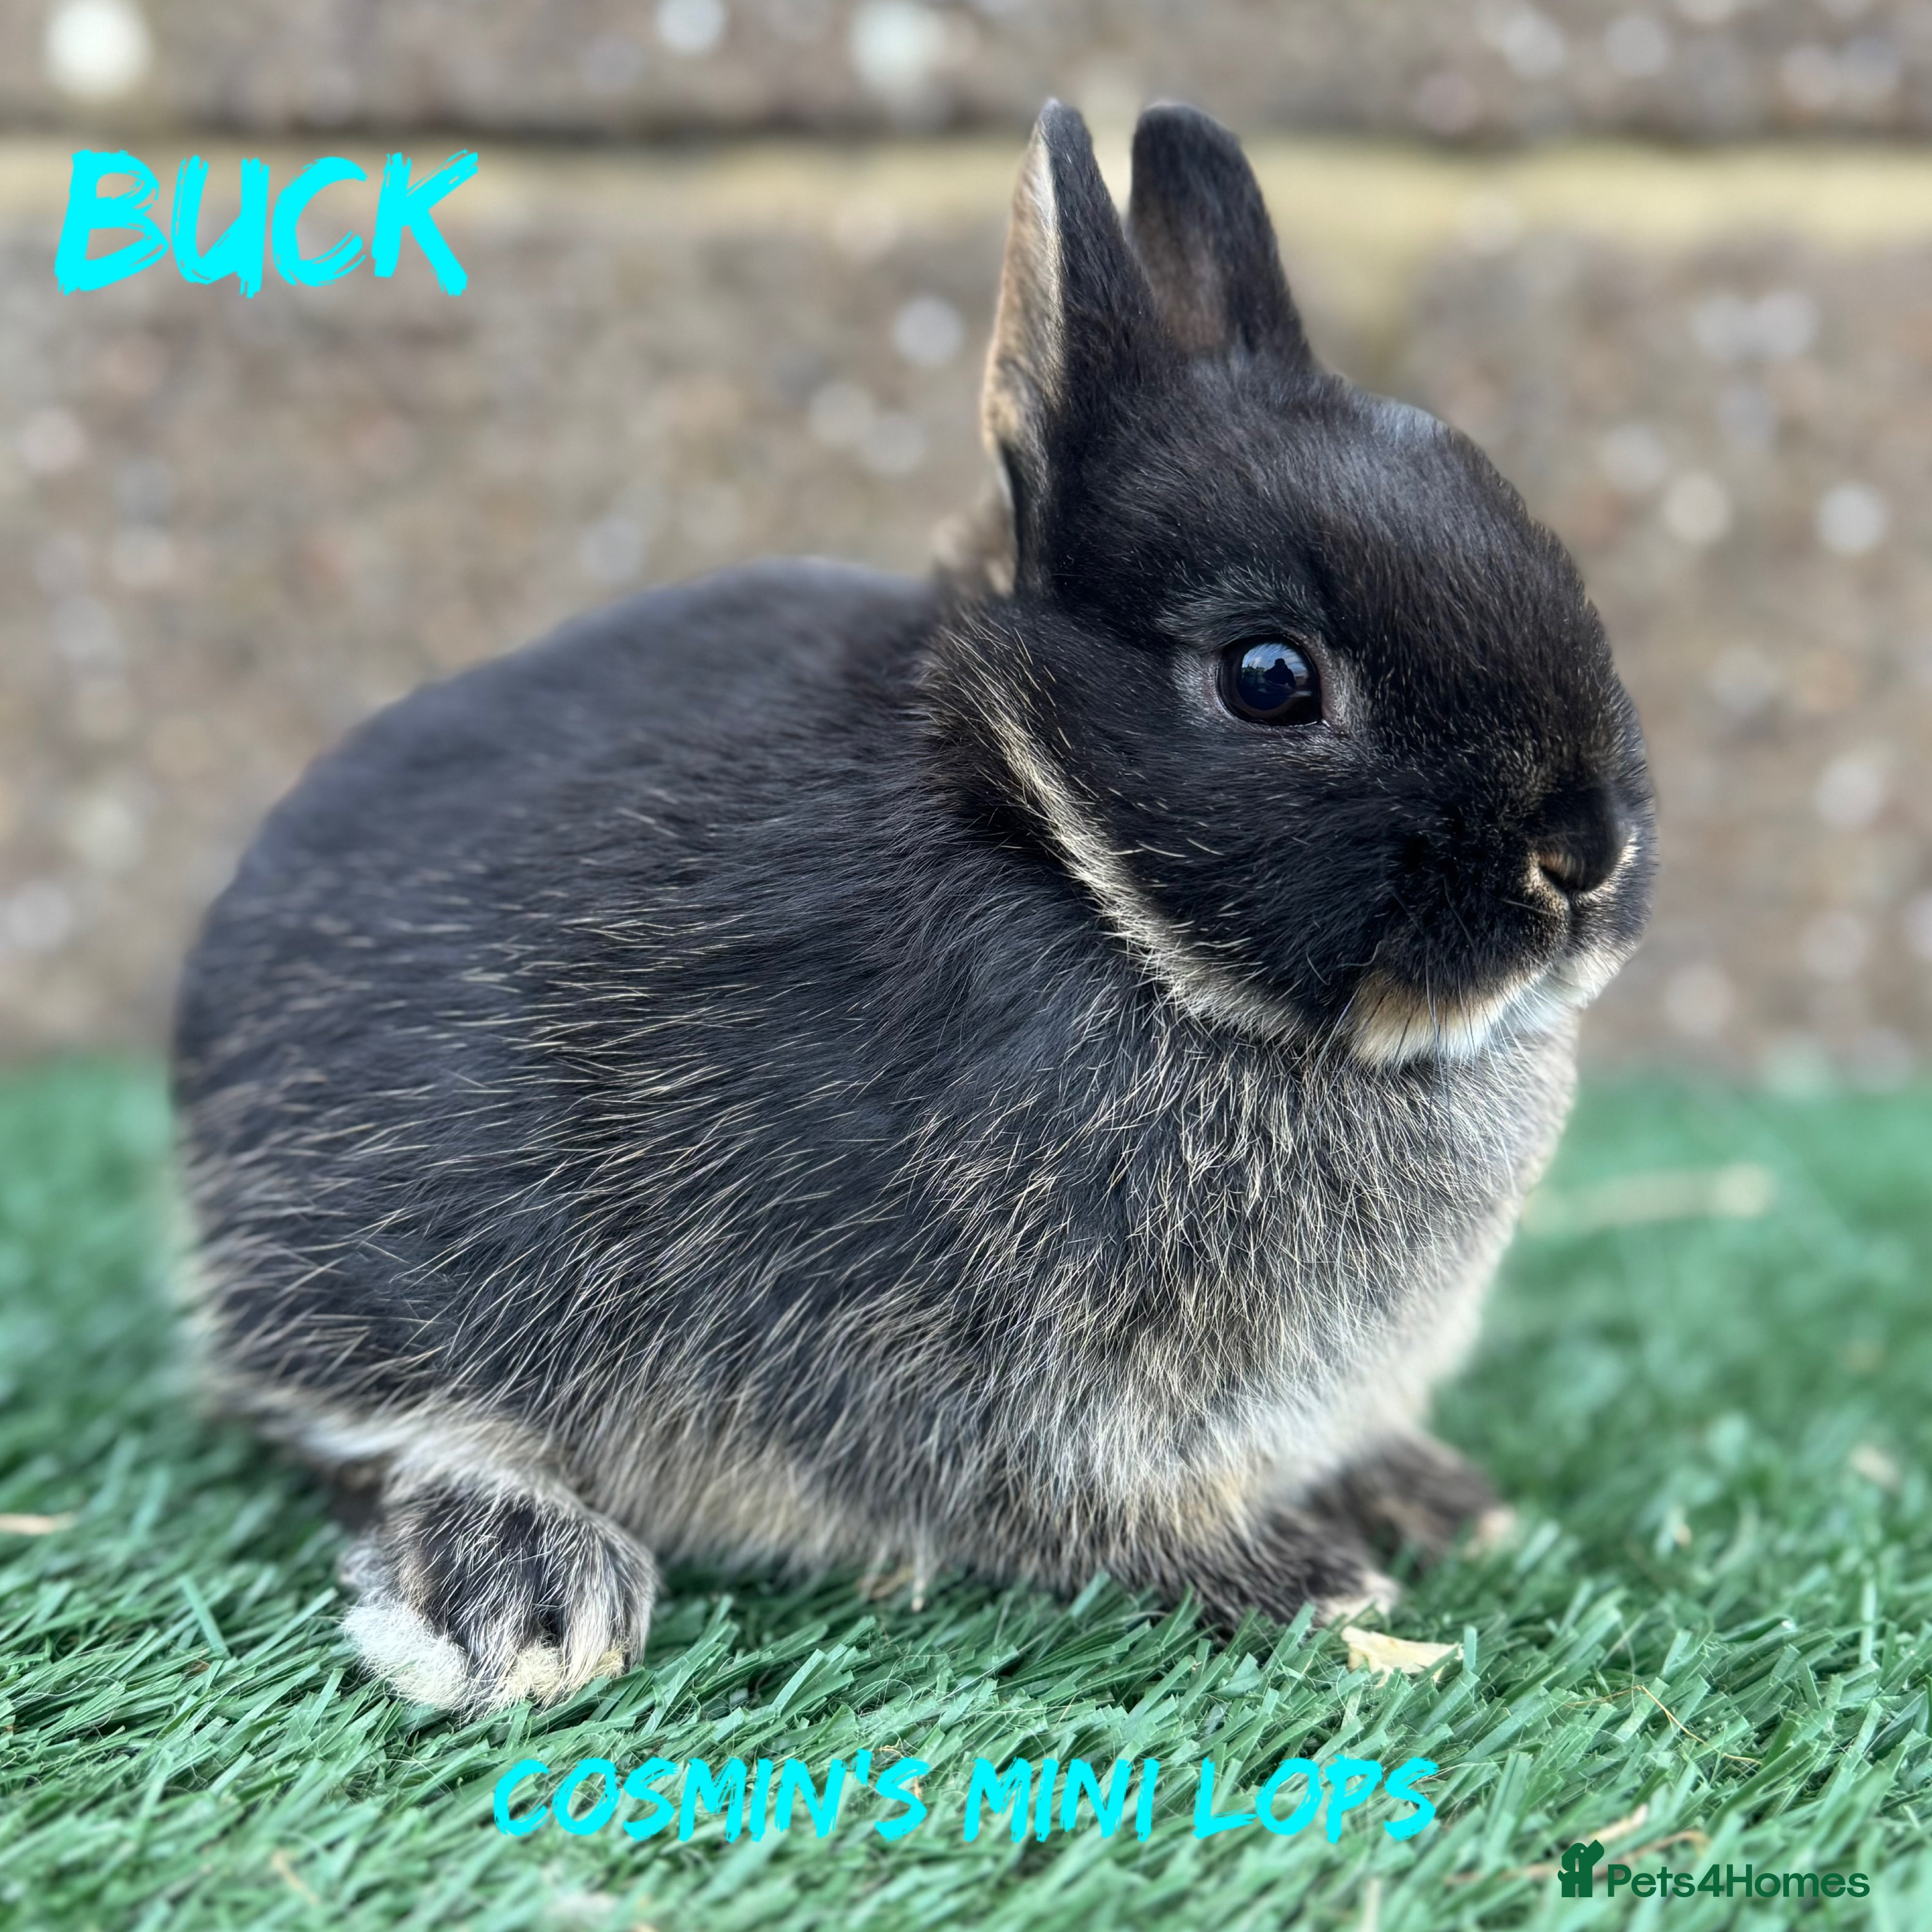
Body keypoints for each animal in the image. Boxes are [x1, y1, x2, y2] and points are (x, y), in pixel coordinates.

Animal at [172, 100, 1655, 1712]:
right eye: (1269, 679)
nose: (1583, 856)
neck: (1063, 858)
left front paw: (1425, 1500)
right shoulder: (1025, 1381)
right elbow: (1087, 1507)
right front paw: (1301, 1581)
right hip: (387, 1251)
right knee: (384, 1429)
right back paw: (527, 1595)